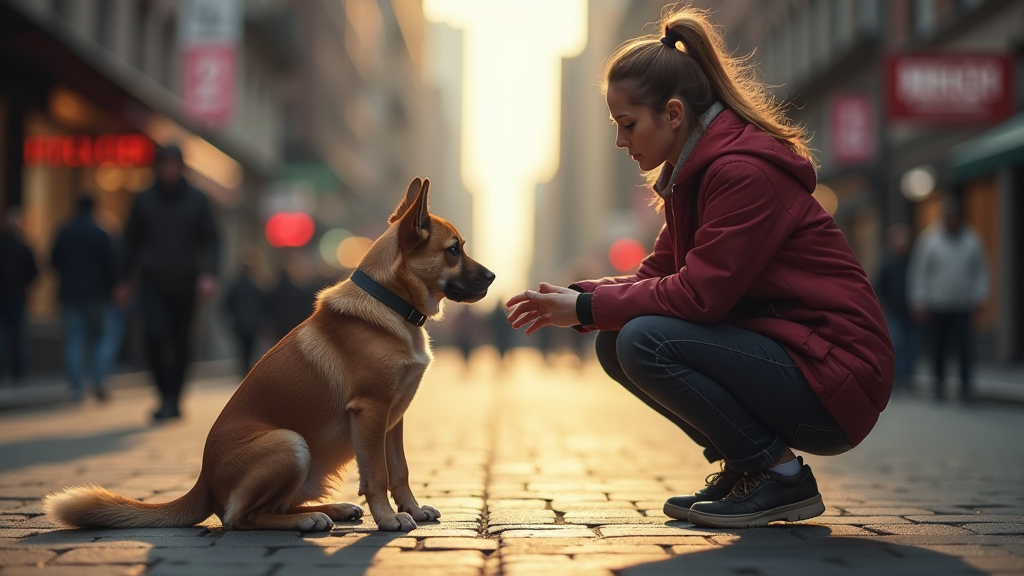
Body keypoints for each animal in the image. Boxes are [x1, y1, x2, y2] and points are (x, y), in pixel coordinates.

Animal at [46, 177, 493, 532]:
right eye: (454, 250)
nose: (491, 276)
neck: (389, 302)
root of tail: (204, 481)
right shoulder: (371, 412)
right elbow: (377, 475)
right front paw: (387, 519)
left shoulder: (392, 419)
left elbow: (399, 470)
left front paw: (412, 510)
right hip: (289, 443)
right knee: (240, 518)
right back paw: (308, 519)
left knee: (274, 506)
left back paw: (332, 509)